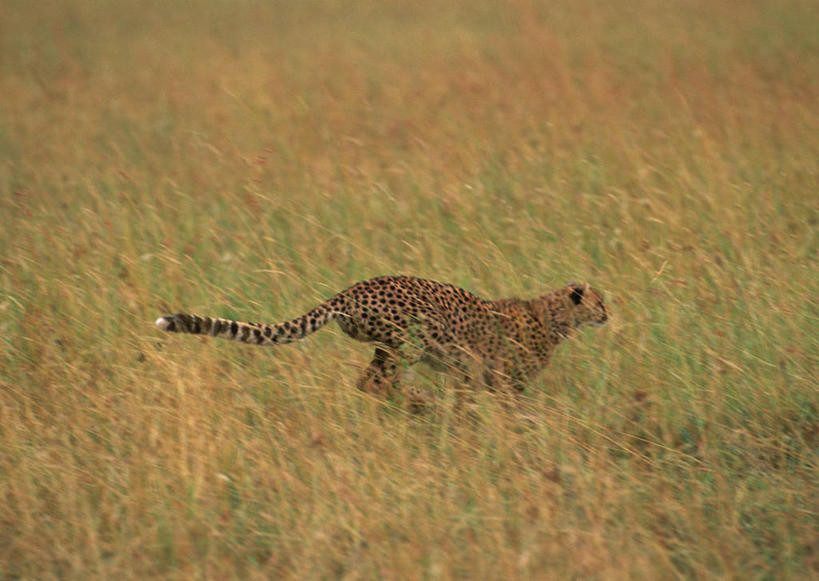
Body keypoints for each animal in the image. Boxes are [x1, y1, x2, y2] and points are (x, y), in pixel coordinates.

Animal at [157, 276, 608, 404]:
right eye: (600, 301)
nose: (608, 314)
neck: (553, 315)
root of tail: (353, 288)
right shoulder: (502, 380)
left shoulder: (472, 375)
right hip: (414, 338)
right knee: (377, 382)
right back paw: (420, 402)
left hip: (386, 344)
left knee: (367, 381)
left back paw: (416, 403)